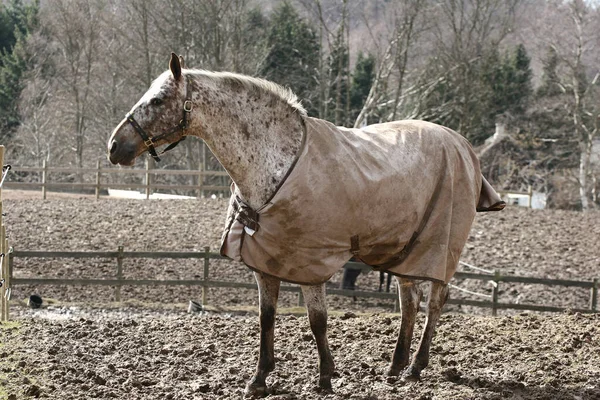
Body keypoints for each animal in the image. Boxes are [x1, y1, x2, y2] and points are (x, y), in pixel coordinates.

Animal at [109, 54, 506, 396]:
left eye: (159, 99)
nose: (115, 147)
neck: (277, 162)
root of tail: (463, 146)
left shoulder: (310, 264)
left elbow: (317, 320)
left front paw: (325, 378)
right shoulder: (266, 264)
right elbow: (266, 317)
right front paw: (259, 379)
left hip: (438, 249)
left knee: (435, 302)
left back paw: (415, 367)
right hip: (405, 249)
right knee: (409, 302)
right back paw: (395, 369)